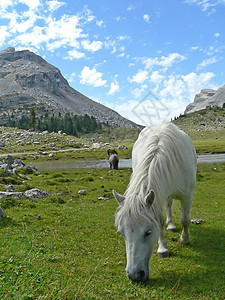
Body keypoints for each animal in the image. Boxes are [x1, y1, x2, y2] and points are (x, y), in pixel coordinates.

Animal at [113, 122, 196, 282]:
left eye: (148, 232)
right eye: (121, 232)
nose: (134, 275)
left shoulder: (187, 196)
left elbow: (185, 220)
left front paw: (185, 239)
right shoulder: (156, 199)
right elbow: (159, 220)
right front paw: (163, 248)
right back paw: (170, 225)